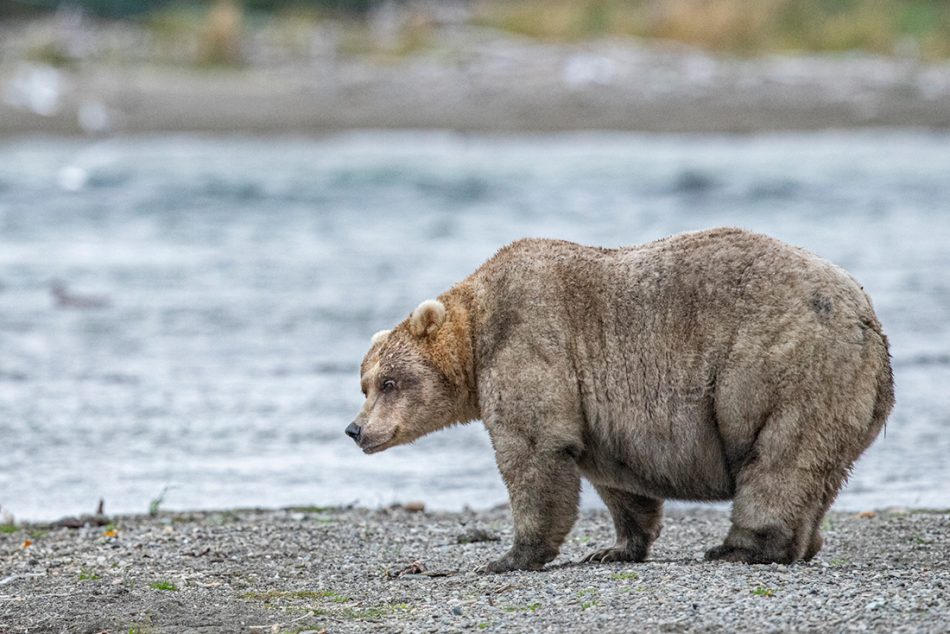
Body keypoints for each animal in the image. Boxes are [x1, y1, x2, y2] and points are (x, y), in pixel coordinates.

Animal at [346, 227, 894, 572]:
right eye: (364, 383)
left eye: (389, 381)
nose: (355, 429)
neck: (476, 334)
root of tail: (866, 316)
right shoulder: (598, 407)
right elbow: (615, 475)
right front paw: (616, 547)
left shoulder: (530, 339)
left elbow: (532, 449)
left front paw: (509, 556)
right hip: (846, 391)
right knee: (819, 469)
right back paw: (805, 542)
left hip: (782, 366)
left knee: (780, 457)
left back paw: (741, 547)